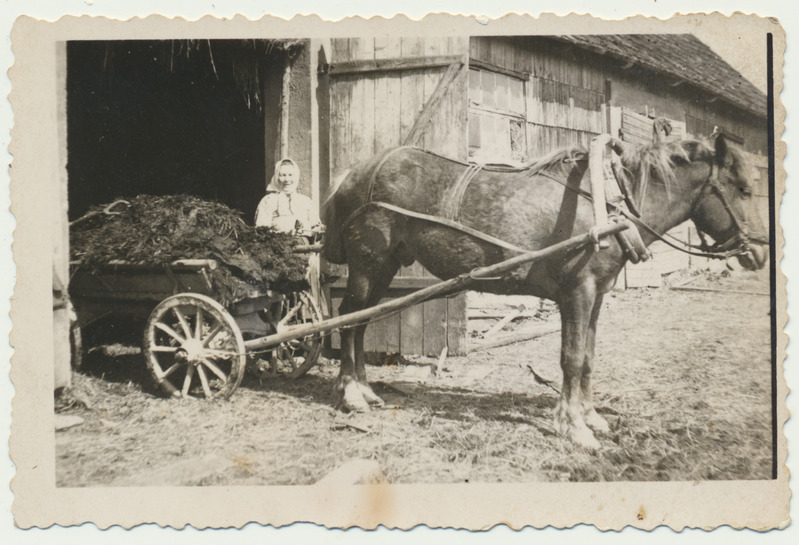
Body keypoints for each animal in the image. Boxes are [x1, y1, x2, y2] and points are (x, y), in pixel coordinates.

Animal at [322, 135, 772, 446]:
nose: (761, 252)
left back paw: (364, 389)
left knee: (359, 325)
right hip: (368, 267)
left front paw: (591, 417)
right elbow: (571, 359)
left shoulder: (597, 296)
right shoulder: (578, 293)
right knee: (346, 322)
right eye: (744, 189)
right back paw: (351, 395)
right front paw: (574, 427)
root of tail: (353, 175)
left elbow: (588, 357)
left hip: (383, 270)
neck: (607, 206)